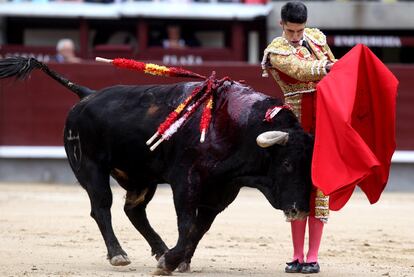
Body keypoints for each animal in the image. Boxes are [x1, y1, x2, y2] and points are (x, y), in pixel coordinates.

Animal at [0, 57, 312, 272]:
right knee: (101, 207)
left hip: (142, 176)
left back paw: (159, 249)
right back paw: (118, 254)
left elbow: (198, 228)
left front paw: (177, 260)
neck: (236, 127)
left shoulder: (222, 192)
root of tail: (86, 93)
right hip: (90, 169)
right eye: (286, 164)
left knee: (134, 210)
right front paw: (172, 261)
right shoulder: (186, 180)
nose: (300, 209)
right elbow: (186, 222)